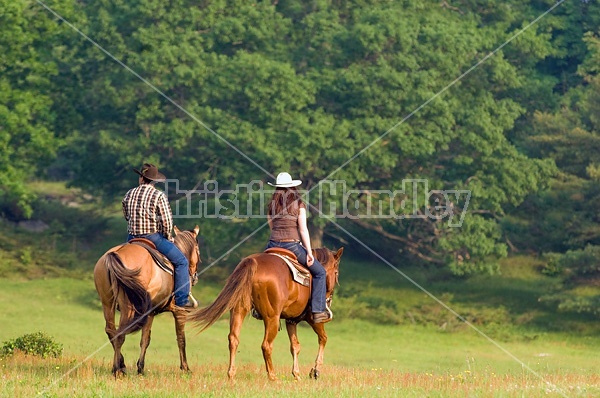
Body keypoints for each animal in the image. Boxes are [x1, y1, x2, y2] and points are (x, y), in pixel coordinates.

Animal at [94, 225, 200, 374]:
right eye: (198, 250)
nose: (195, 276)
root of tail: (115, 254)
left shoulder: (150, 313)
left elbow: (145, 339)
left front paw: (140, 368)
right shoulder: (178, 311)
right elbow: (180, 338)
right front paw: (185, 368)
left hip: (107, 303)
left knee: (111, 331)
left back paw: (121, 365)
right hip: (128, 307)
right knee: (120, 333)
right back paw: (117, 370)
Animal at [190, 247, 344, 380]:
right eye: (336, 273)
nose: (329, 299)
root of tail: (253, 262)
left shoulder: (291, 320)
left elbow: (295, 346)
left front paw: (297, 374)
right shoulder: (313, 319)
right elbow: (323, 338)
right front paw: (315, 371)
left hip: (239, 310)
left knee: (233, 339)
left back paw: (231, 374)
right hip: (272, 318)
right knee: (266, 345)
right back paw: (273, 376)